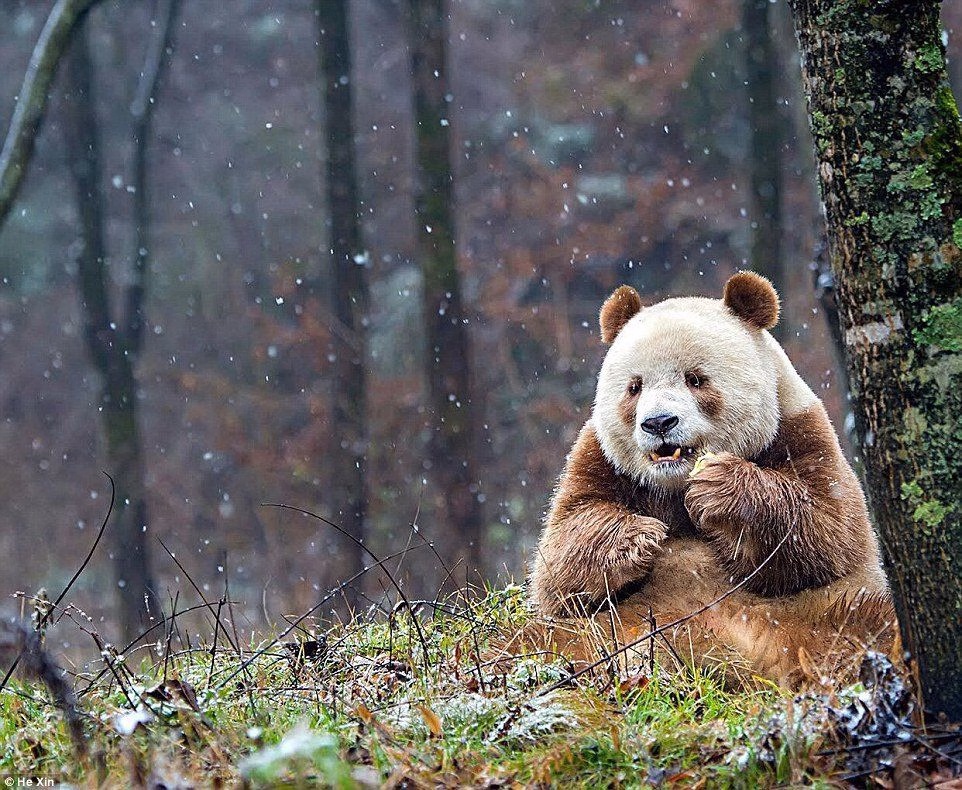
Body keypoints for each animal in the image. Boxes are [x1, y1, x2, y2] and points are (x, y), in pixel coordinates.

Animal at [526, 271, 894, 684]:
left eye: (696, 379)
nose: (659, 423)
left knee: (868, 624)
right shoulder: (601, 459)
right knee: (534, 640)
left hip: (818, 614)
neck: (674, 483)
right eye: (634, 386)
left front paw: (719, 489)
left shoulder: (800, 432)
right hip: (600, 629)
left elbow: (826, 531)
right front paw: (640, 537)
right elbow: (561, 558)